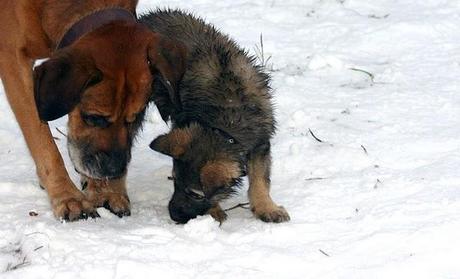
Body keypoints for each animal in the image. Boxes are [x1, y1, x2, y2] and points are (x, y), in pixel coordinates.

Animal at [0, 1, 187, 222]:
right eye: (94, 118)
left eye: (133, 119)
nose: (114, 169)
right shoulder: (13, 59)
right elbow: (42, 138)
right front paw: (68, 196)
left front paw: (106, 191)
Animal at [141, 9, 292, 225]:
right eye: (175, 180)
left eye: (195, 194)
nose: (174, 216)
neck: (226, 120)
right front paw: (215, 211)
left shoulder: (260, 142)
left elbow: (260, 179)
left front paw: (266, 207)